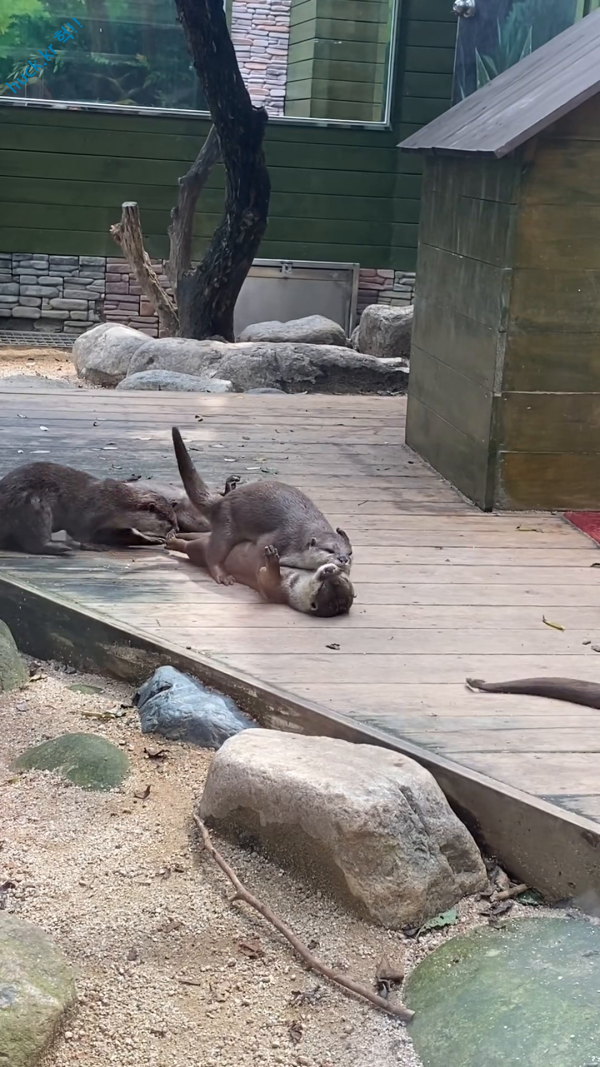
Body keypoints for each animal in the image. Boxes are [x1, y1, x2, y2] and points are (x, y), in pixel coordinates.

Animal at [0, 460, 175, 554]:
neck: (114, 502)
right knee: (35, 541)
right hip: (33, 505)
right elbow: (81, 534)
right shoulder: (85, 515)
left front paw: (152, 539)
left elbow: (126, 534)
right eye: (169, 520)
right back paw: (61, 548)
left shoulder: (114, 525)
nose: (177, 528)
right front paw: (94, 545)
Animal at [166, 533, 354, 618]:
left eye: (327, 584)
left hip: (201, 549)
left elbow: (265, 576)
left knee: (191, 547)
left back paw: (173, 542)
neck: (296, 578)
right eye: (339, 581)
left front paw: (272, 559)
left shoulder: (279, 589)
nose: (332, 570)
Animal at [170, 422, 352, 588]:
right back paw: (222, 575)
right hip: (226, 522)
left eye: (349, 552)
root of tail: (222, 501)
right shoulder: (280, 538)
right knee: (214, 552)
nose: (343, 559)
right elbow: (259, 555)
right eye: (330, 550)